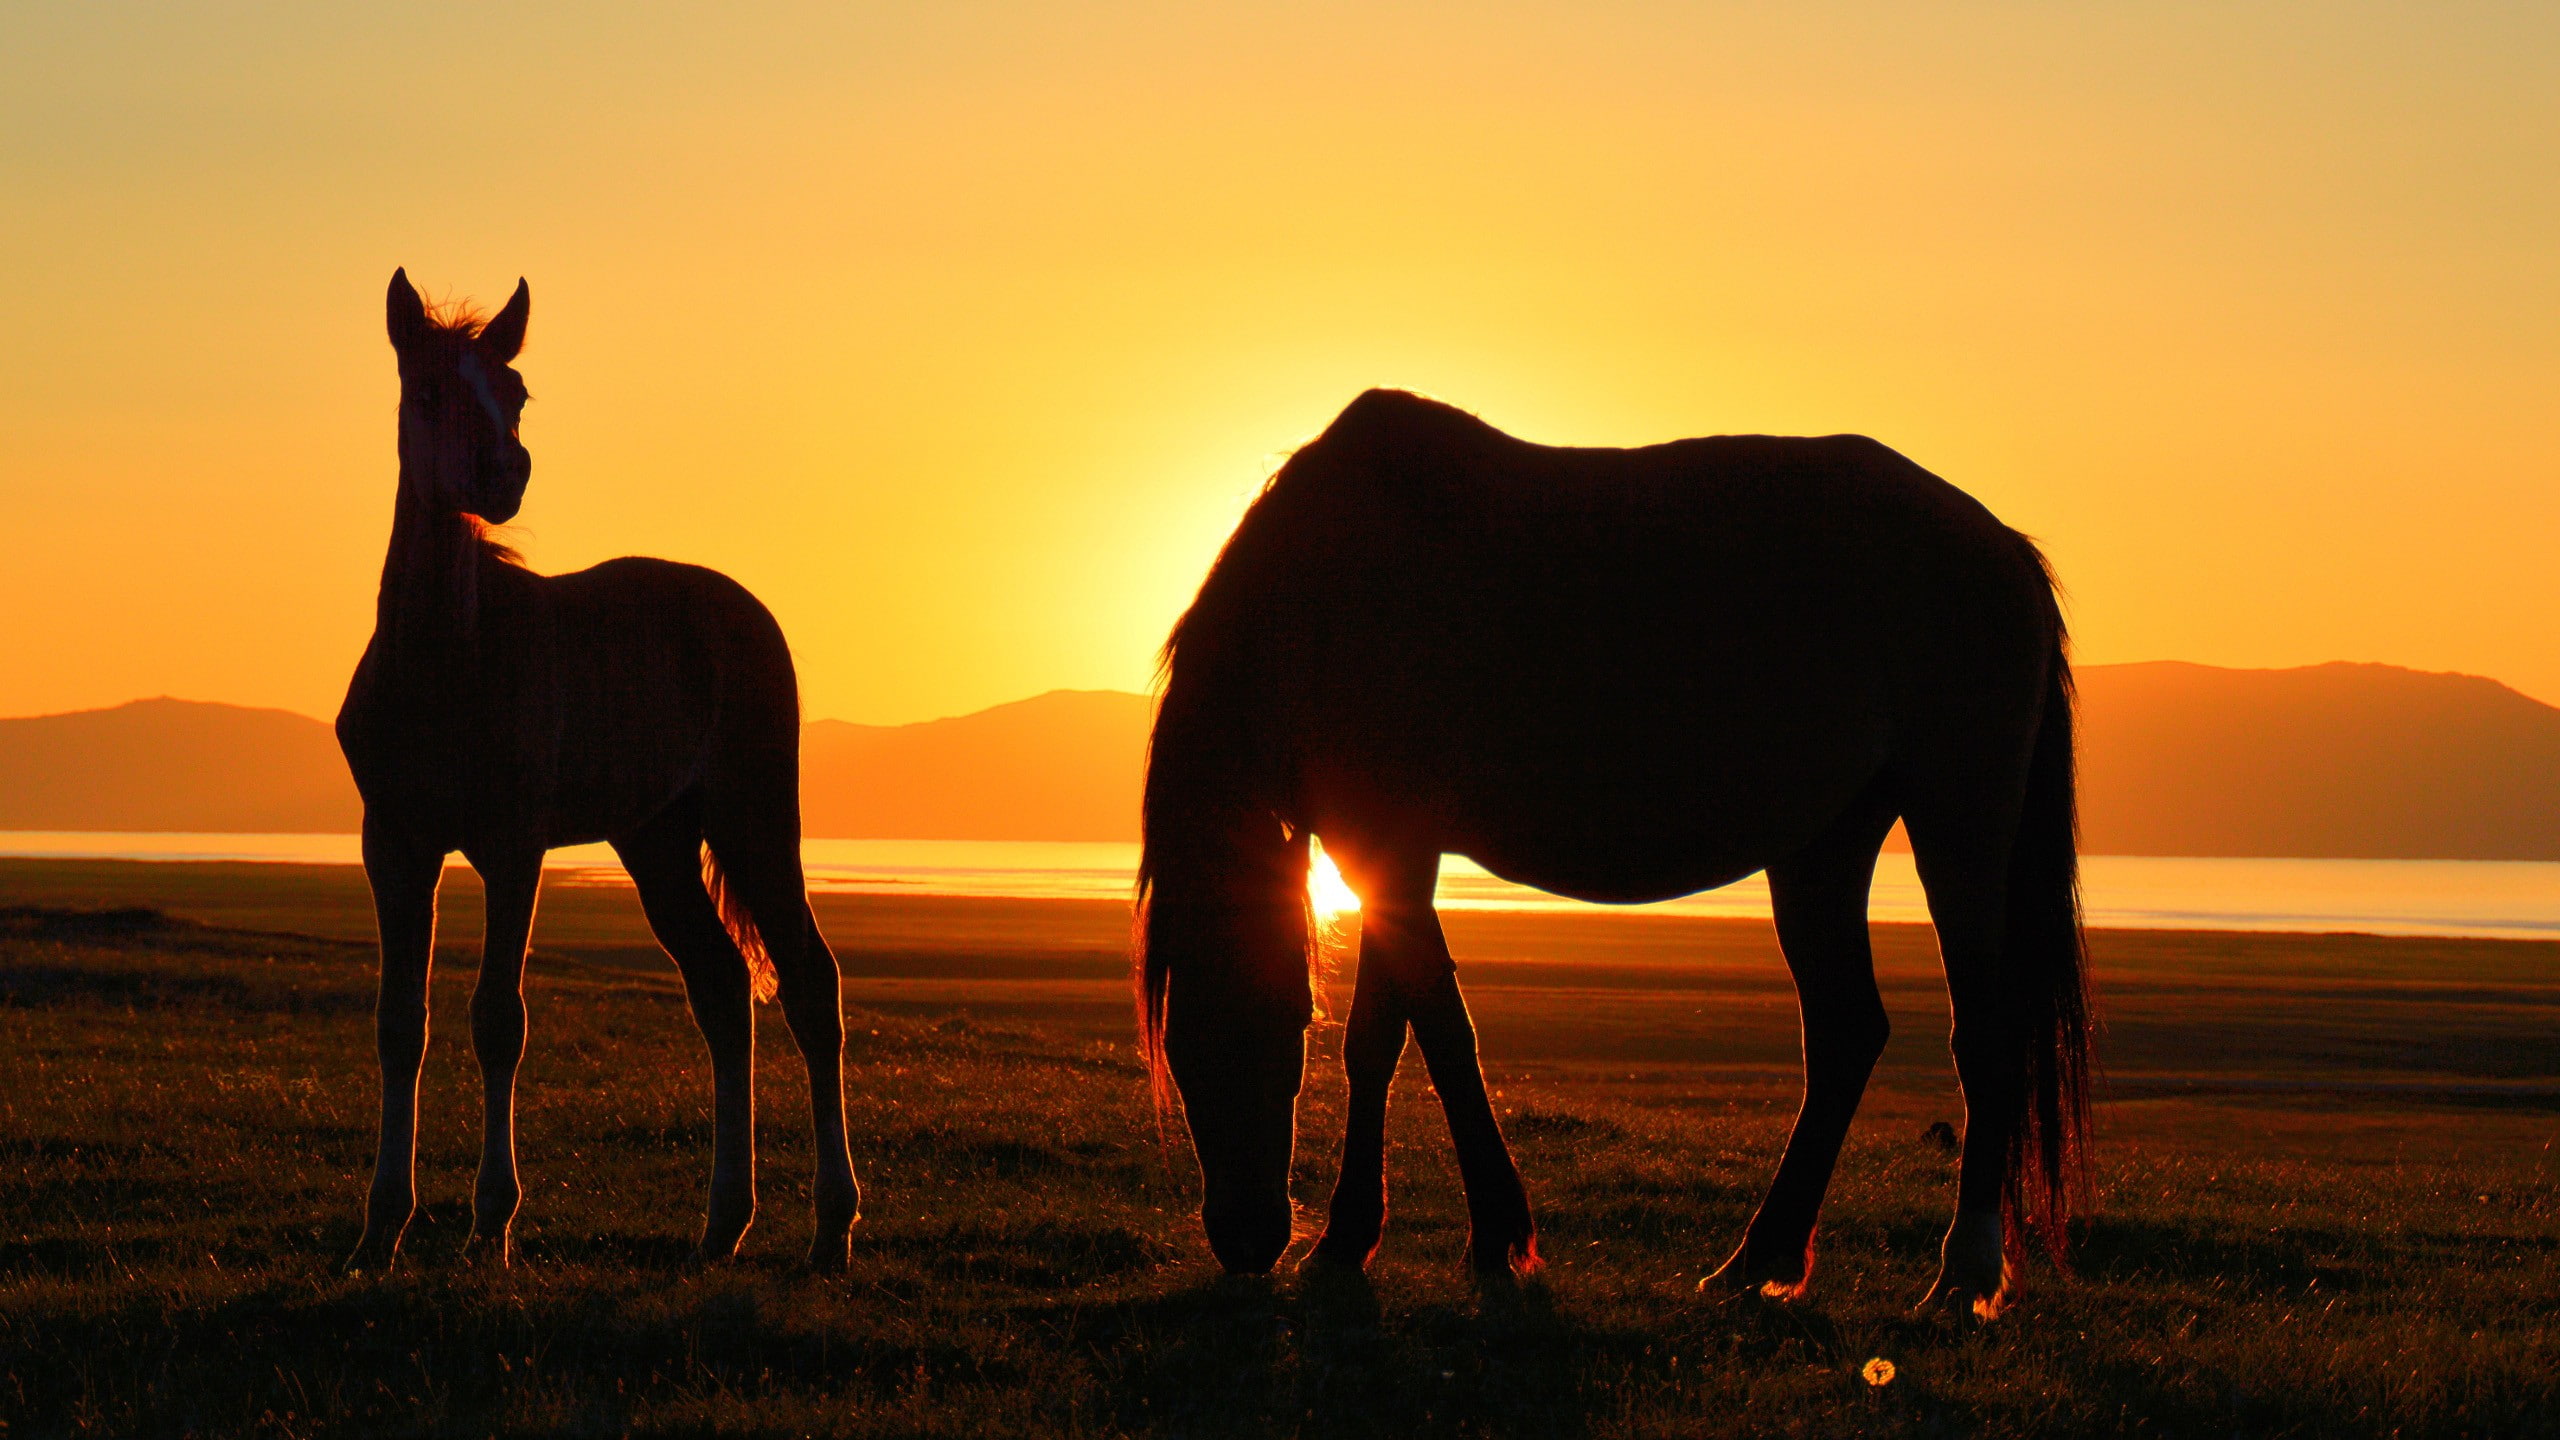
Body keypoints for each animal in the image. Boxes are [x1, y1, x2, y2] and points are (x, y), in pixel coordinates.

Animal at [335, 269, 860, 1271]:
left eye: (515, 393)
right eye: (430, 390)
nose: (505, 474)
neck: (445, 661)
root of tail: (743, 608)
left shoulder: (512, 848)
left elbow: (498, 1020)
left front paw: (491, 1225)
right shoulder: (395, 847)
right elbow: (397, 1025)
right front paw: (378, 1231)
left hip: (754, 819)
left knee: (810, 983)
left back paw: (831, 1229)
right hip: (656, 841)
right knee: (721, 988)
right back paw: (721, 1225)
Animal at [1136, 389, 2092, 1316]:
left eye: (1255, 1026)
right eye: (1181, 1048)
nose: (1244, 1241)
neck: (1324, 596)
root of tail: (2002, 549)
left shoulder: (1391, 847)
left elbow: (1432, 1030)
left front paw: (1489, 1238)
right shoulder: (1384, 850)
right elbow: (1385, 1037)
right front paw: (1348, 1242)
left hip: (1957, 825)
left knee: (1982, 1032)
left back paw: (1964, 1272)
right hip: (1824, 846)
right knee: (1845, 1031)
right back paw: (1758, 1259)